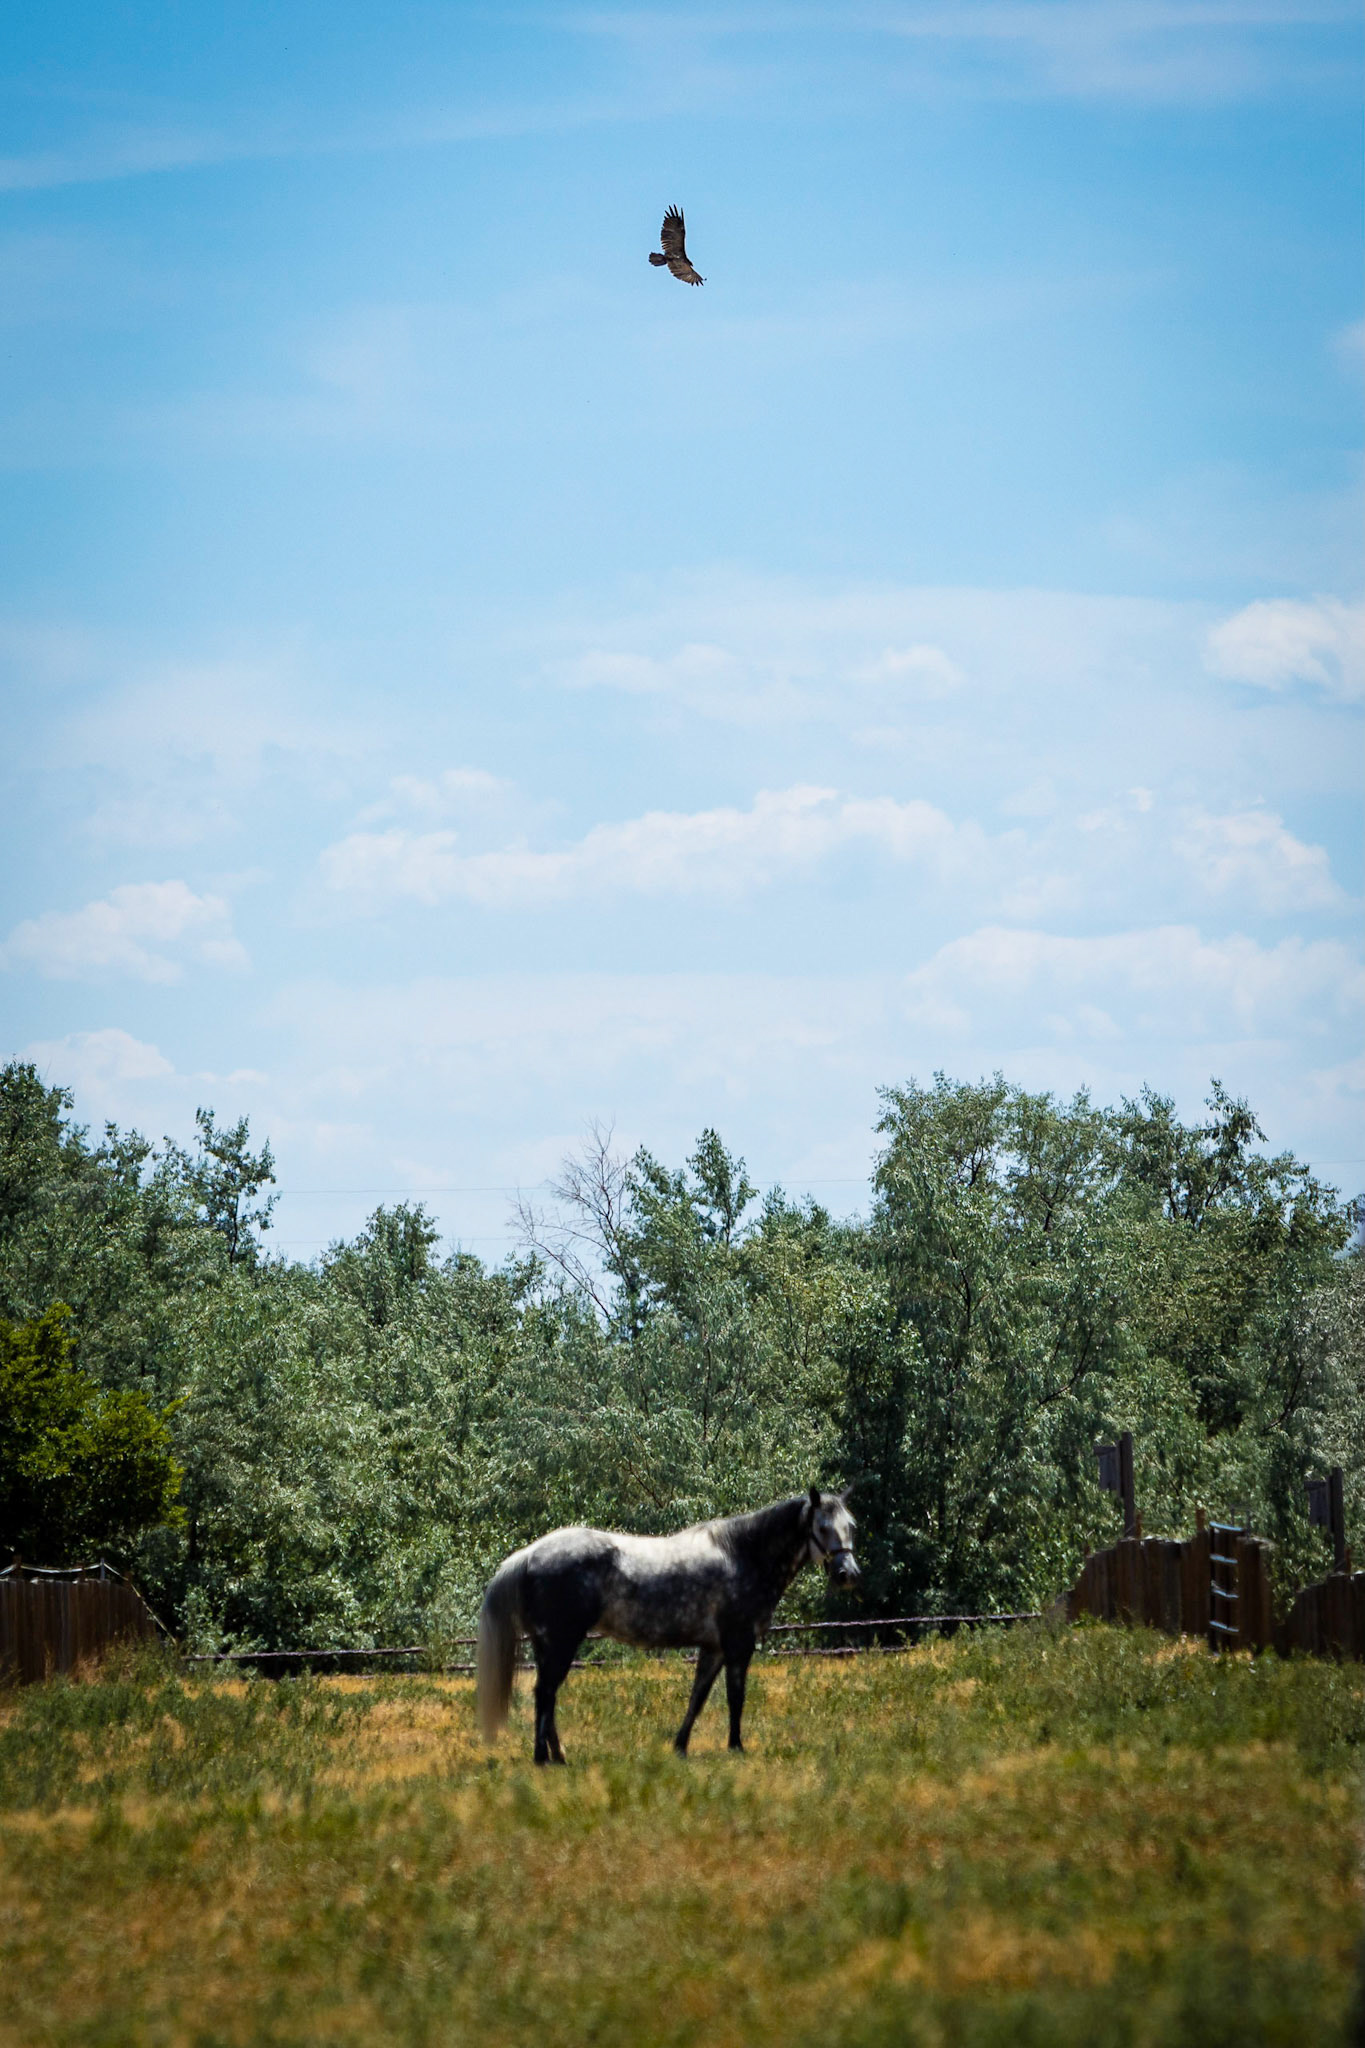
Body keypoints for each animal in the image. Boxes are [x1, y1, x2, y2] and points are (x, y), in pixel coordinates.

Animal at [476, 1486, 859, 1764]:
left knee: (547, 1695)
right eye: (822, 1527)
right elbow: (736, 1697)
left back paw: (558, 1755)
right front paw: (736, 1748)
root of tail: (529, 1555)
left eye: (850, 1526)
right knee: (545, 1694)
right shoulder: (739, 1643)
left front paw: (680, 1747)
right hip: (561, 1642)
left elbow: (697, 1698)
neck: (743, 1555)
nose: (848, 1575)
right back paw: (543, 1758)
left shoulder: (714, 1647)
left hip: (548, 1646)